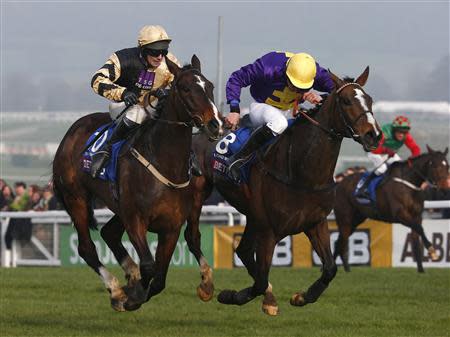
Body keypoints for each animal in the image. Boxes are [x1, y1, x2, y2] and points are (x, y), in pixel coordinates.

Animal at [52, 54, 223, 310]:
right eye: (185, 88)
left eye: (210, 86)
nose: (216, 124)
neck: (163, 162)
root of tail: (70, 133)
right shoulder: (135, 220)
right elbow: (150, 266)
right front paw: (133, 296)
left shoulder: (171, 227)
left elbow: (160, 277)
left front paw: (137, 288)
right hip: (76, 198)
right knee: (87, 248)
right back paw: (115, 289)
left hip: (118, 206)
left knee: (109, 233)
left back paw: (130, 276)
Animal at [185, 67, 382, 314]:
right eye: (346, 101)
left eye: (370, 100)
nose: (373, 135)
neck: (302, 173)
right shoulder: (269, 231)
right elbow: (260, 281)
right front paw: (230, 295)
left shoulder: (316, 222)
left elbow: (329, 268)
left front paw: (301, 297)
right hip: (197, 196)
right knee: (194, 237)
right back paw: (207, 286)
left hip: (253, 216)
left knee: (243, 251)